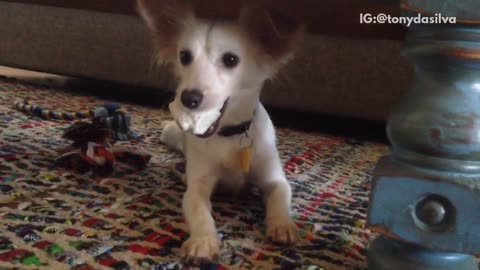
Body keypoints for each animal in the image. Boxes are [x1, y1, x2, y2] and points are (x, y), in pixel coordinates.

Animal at [137, 0, 302, 264]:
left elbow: (280, 198)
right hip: (174, 136)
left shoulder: (274, 179)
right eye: (184, 56)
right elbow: (199, 210)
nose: (188, 99)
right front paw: (203, 241)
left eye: (231, 59)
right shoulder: (198, 186)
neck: (230, 137)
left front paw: (282, 225)